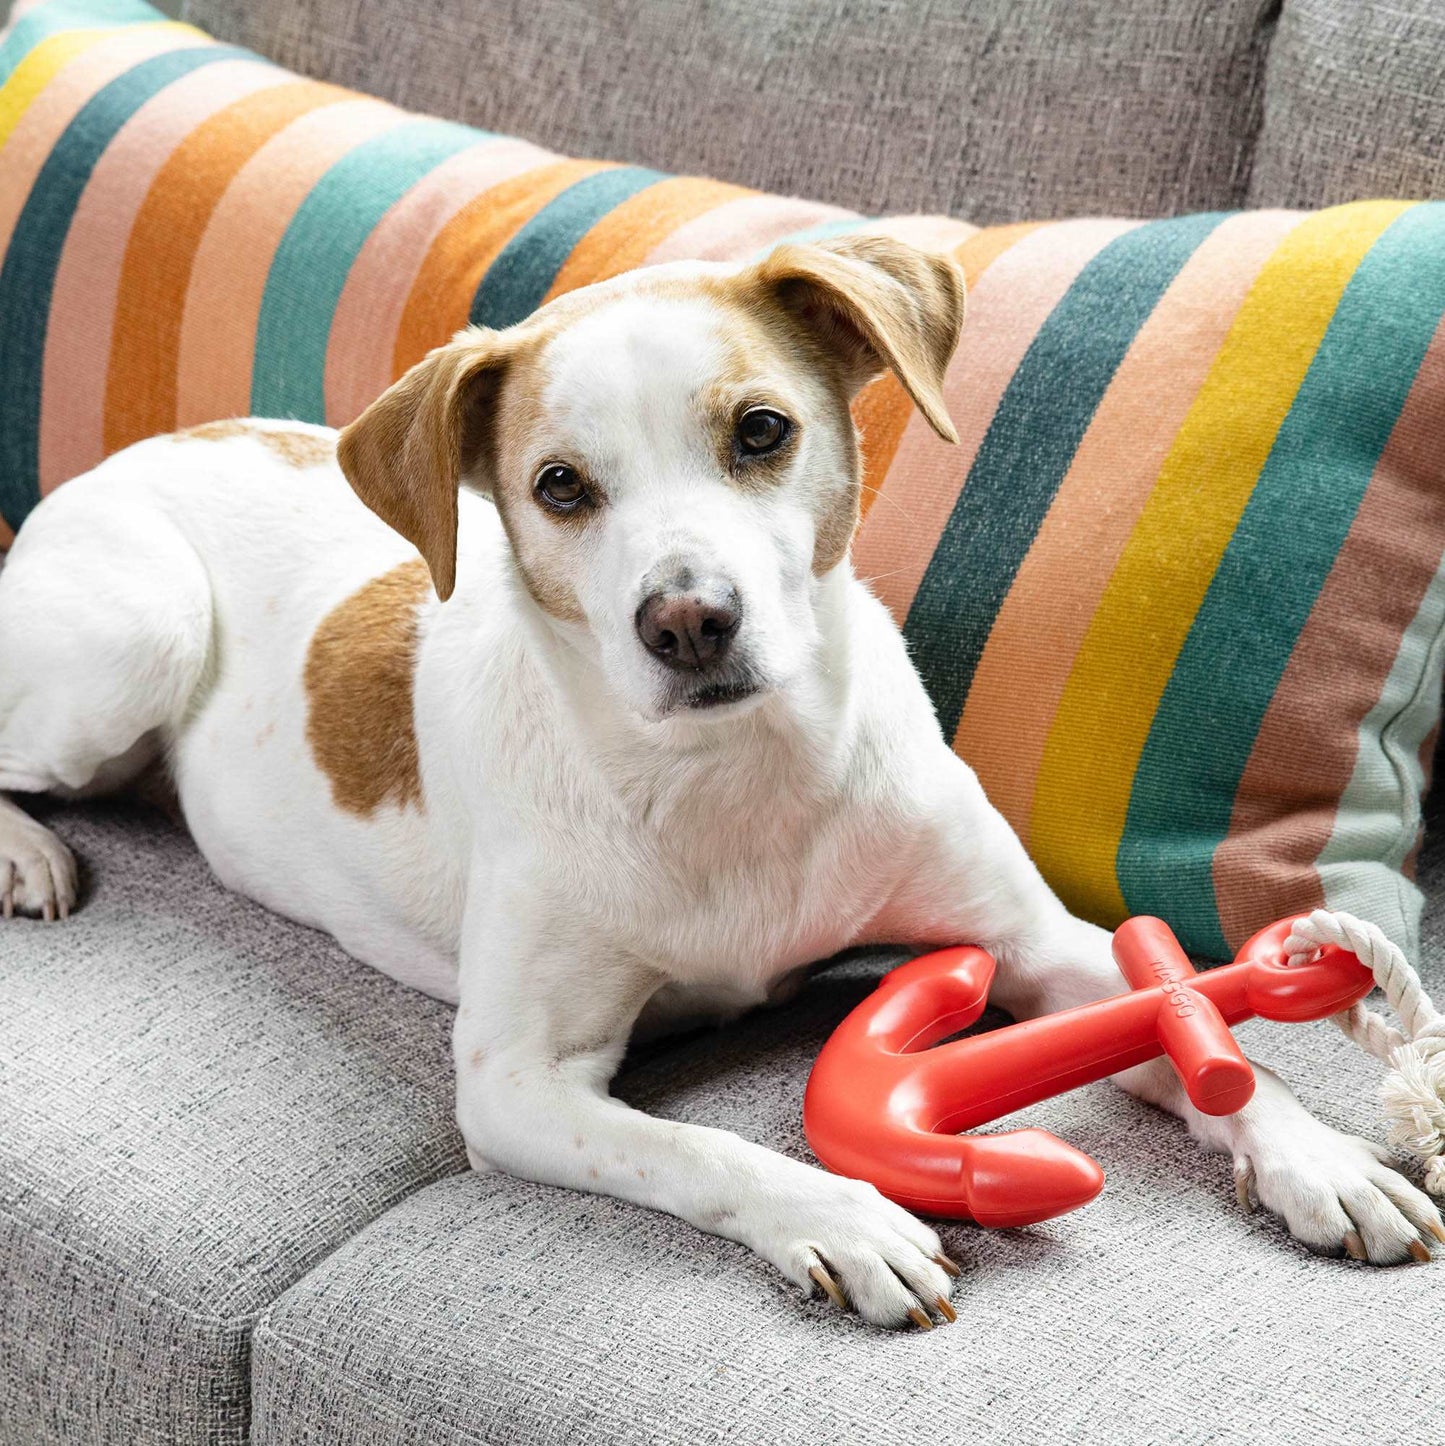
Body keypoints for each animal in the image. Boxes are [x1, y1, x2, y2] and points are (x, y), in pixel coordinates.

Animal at [0, 240, 1434, 1330]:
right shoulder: (519, 1080)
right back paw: (29, 854)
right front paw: (843, 1214)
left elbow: (1188, 1026)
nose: (688, 620)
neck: (734, 780)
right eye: (558, 486)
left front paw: (1316, 1156)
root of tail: (136, 451)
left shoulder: (1036, 944)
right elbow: (699, 1147)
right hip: (139, 631)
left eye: (761, 430)